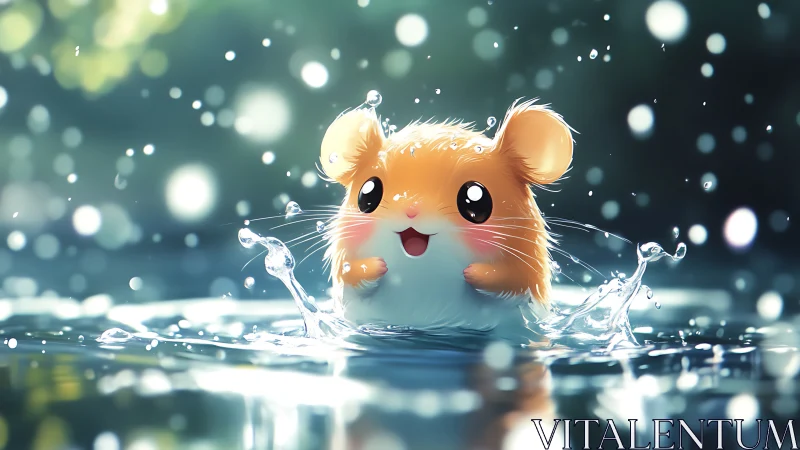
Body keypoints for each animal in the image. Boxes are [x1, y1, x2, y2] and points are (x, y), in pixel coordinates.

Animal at [319, 98, 574, 335]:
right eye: (367, 195)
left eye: (476, 200)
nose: (411, 209)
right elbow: (347, 272)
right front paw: (375, 266)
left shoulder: (526, 268)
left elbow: (514, 280)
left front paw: (475, 273)